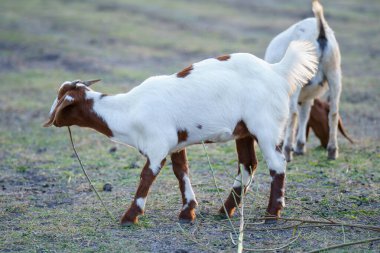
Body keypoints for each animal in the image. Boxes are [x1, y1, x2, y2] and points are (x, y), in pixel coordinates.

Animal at [266, 0, 342, 161]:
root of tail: (320, 31)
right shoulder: (308, 96)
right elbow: (305, 115)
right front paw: (300, 146)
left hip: (297, 81)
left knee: (293, 113)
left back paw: (287, 151)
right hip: (334, 73)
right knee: (333, 112)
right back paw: (332, 151)